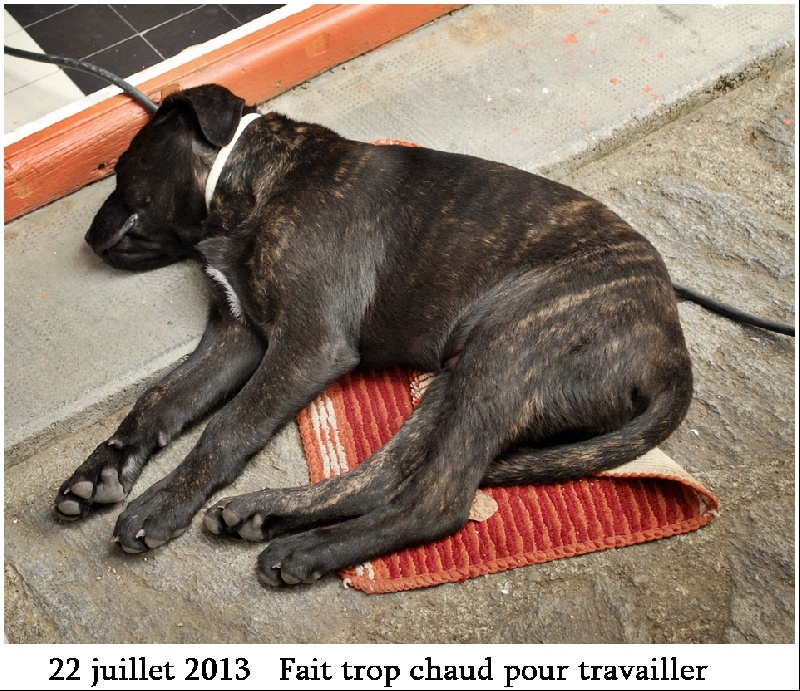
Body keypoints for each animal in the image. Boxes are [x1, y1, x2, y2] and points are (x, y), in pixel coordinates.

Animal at [56, 84, 693, 587]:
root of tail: (674, 353)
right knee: (387, 476)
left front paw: (163, 504)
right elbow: (158, 400)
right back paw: (267, 513)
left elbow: (228, 426)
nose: (84, 239)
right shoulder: (237, 335)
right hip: (455, 380)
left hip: (507, 355)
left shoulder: (307, 345)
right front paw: (100, 472)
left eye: (122, 169)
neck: (246, 182)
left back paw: (310, 549)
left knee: (437, 501)